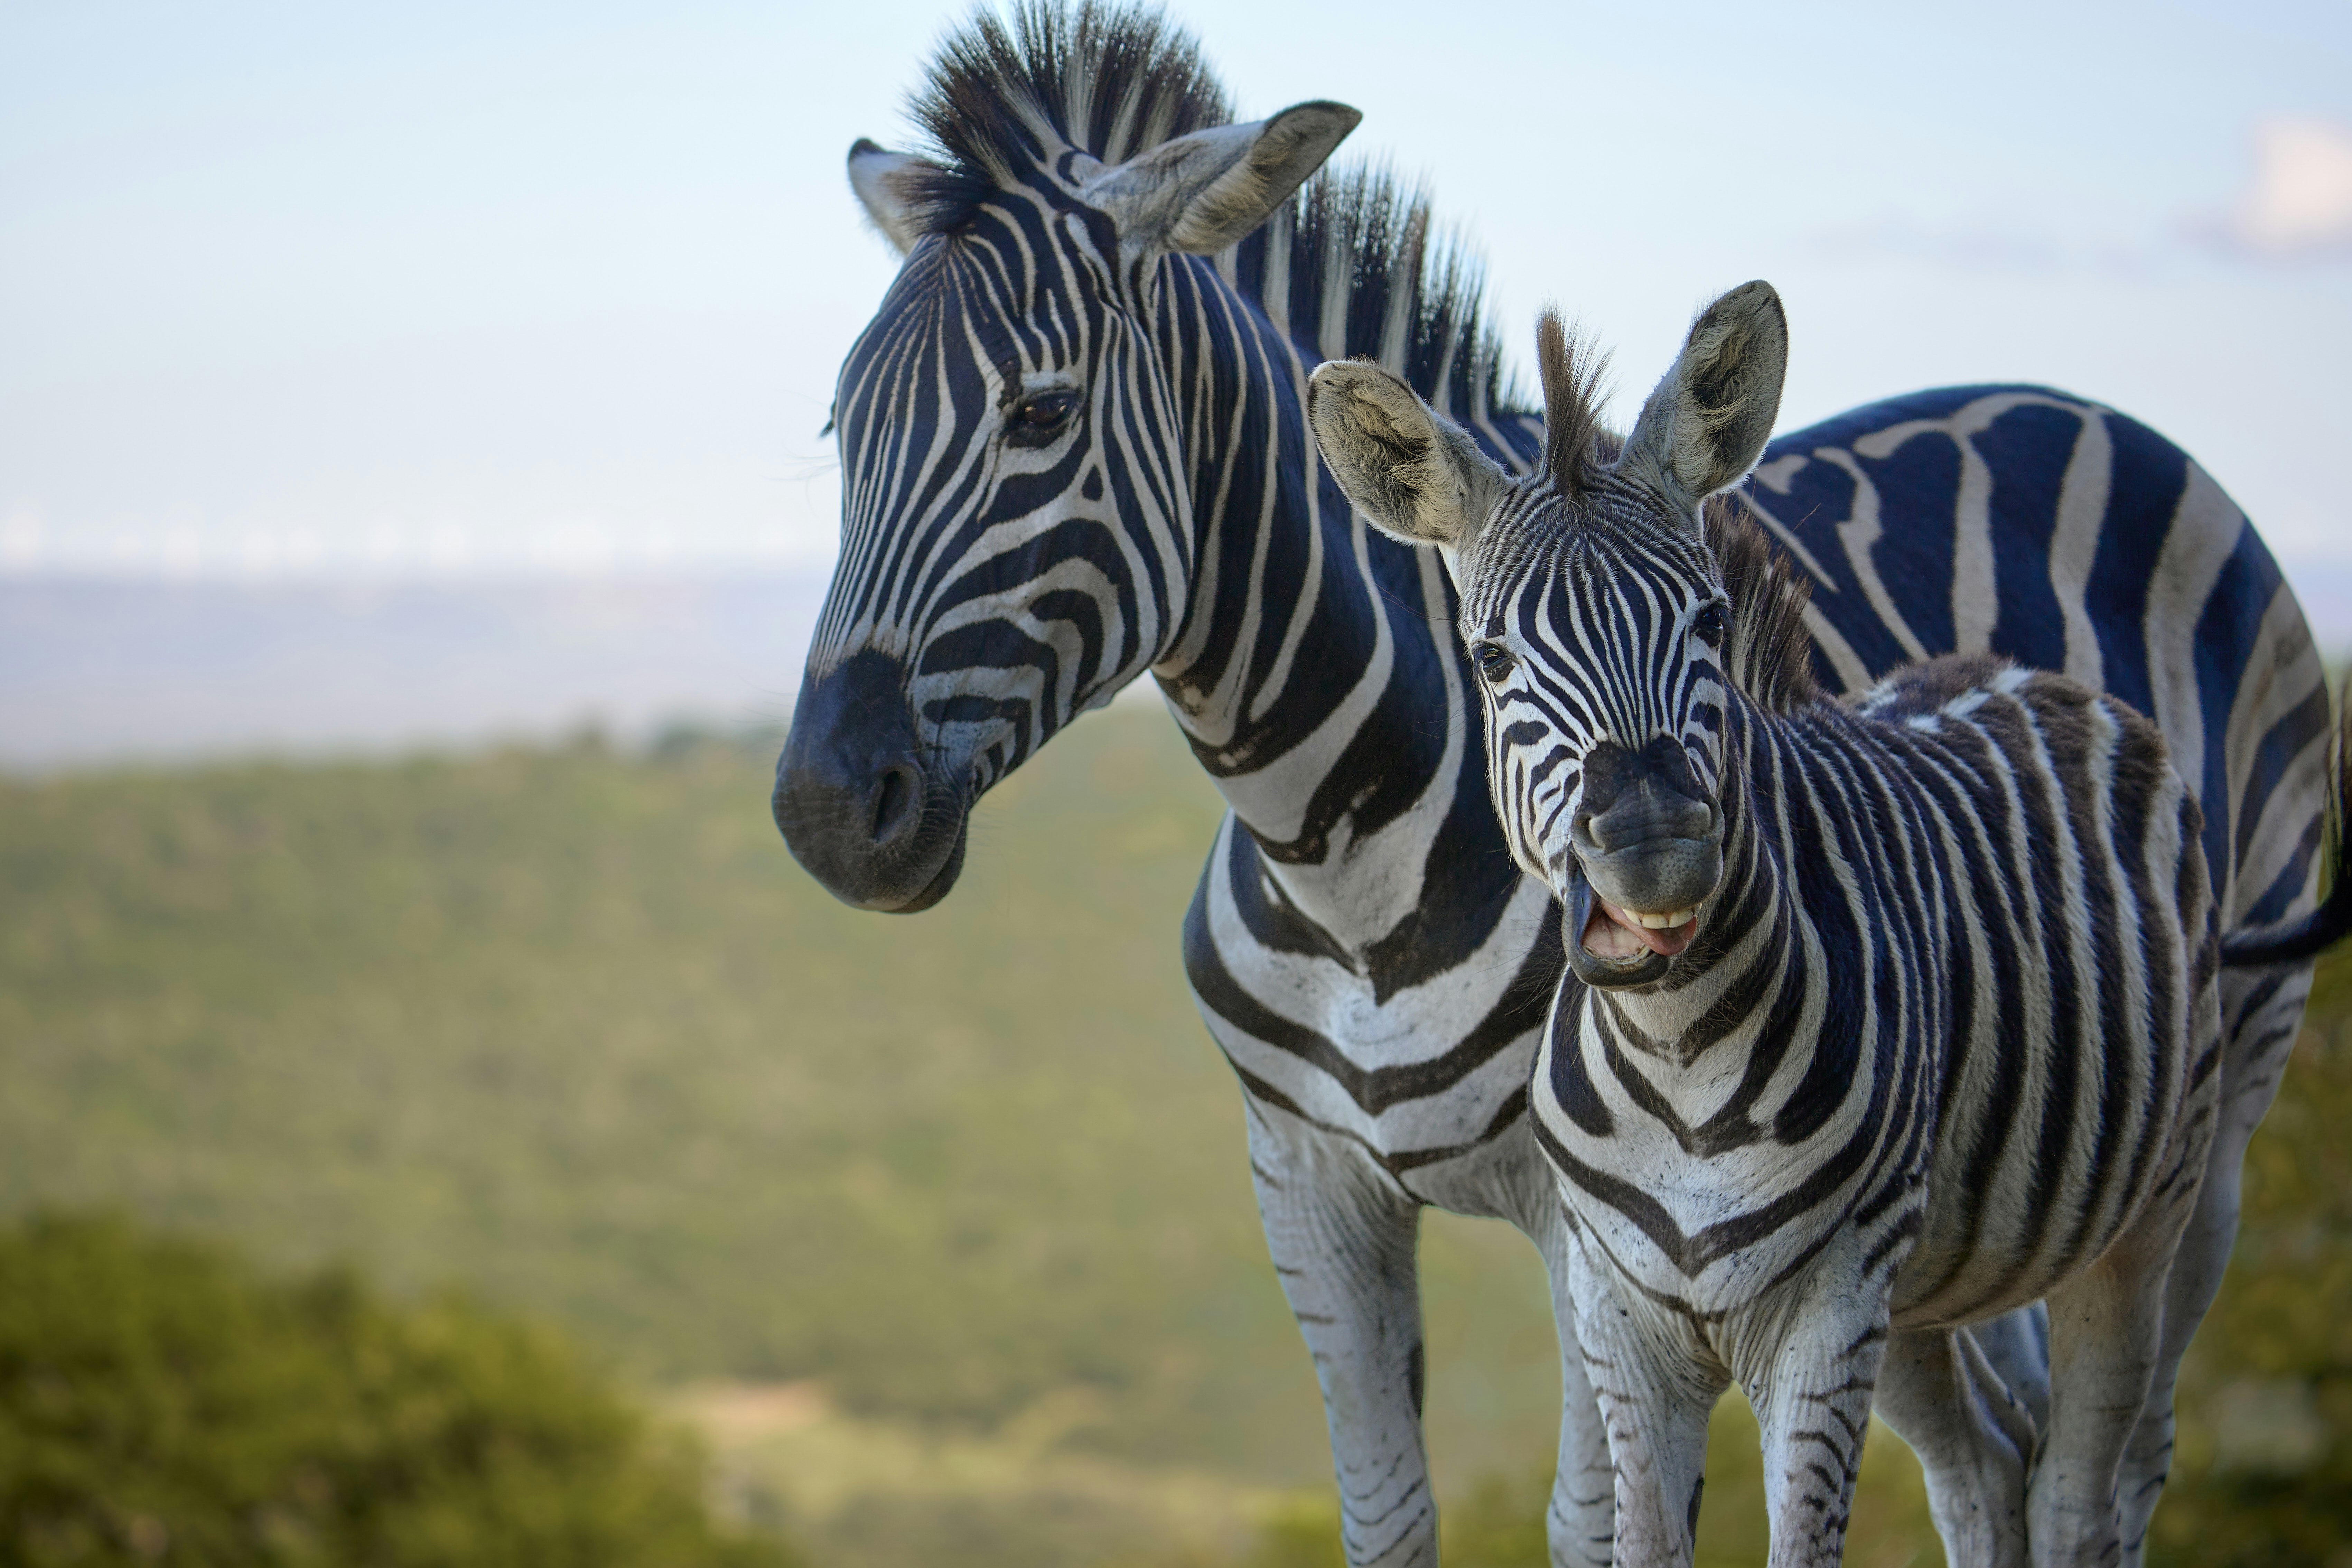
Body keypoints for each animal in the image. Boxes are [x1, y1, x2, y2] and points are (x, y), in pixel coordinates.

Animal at [1304, 281, 2351, 1565]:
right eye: (1492, 658)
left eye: (1708, 620)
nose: (1652, 837)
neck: (1676, 1052)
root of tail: (2027, 673)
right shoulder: (1624, 1315)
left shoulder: (1826, 1308)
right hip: (1927, 1284)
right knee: (1985, 1469)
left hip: (2162, 1195)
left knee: (2089, 1486)